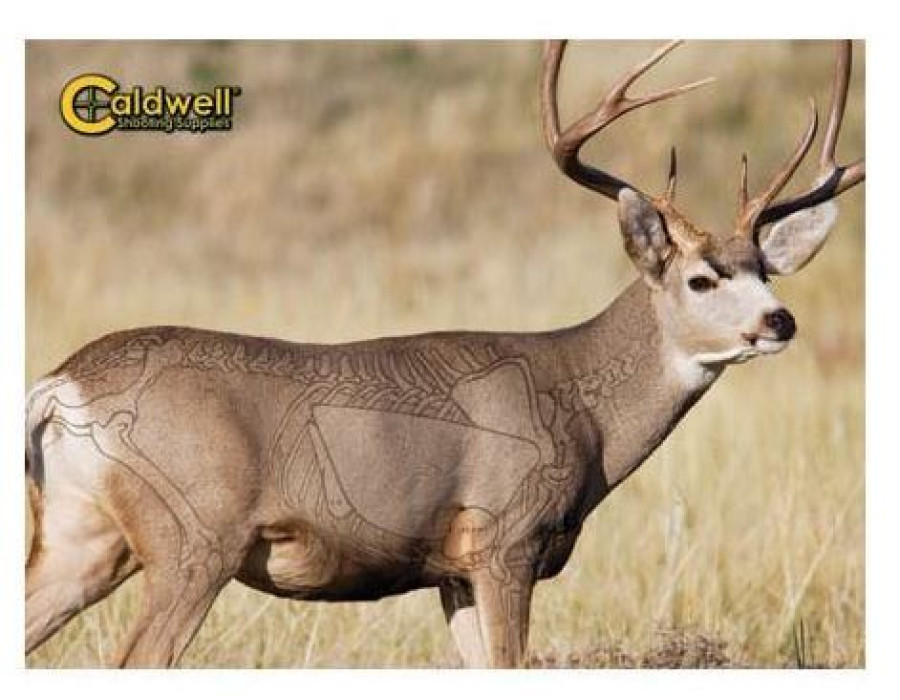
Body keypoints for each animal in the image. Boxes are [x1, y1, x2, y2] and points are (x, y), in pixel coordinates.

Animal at [25, 40, 864, 668]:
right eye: (701, 278)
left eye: (766, 270)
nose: (781, 320)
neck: (581, 407)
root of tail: (62, 384)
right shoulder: (504, 539)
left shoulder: (451, 571)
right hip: (193, 536)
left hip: (83, 536)